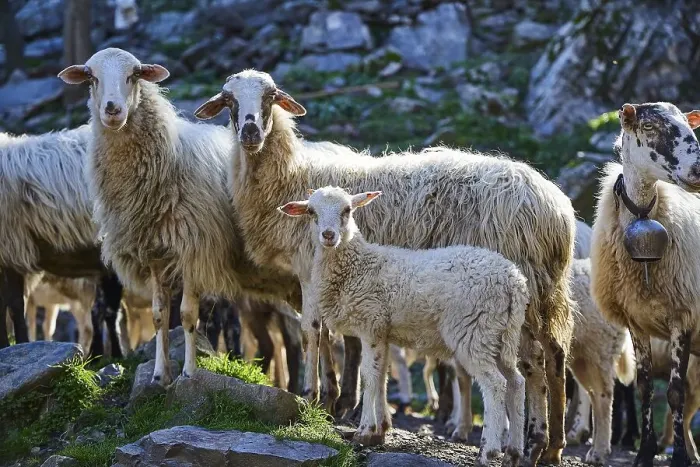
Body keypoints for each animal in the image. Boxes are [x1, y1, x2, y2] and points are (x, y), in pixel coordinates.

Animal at [58, 48, 302, 386]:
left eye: (134, 75)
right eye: (91, 77)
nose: (112, 110)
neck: (169, 159)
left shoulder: (194, 249)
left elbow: (187, 316)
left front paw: (188, 373)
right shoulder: (156, 255)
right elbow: (160, 315)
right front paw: (160, 375)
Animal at [279, 186, 528, 465]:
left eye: (347, 210)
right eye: (311, 212)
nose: (329, 235)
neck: (358, 265)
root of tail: (513, 281)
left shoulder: (371, 324)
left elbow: (369, 376)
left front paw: (364, 430)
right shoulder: (383, 332)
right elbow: (382, 378)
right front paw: (380, 430)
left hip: (475, 330)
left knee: (495, 385)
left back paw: (488, 451)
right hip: (502, 336)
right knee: (517, 383)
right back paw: (514, 453)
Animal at [590, 102, 700, 467]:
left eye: (691, 128)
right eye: (649, 126)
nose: (698, 170)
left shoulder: (684, 316)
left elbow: (676, 394)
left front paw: (678, 456)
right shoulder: (635, 322)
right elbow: (644, 388)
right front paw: (645, 453)